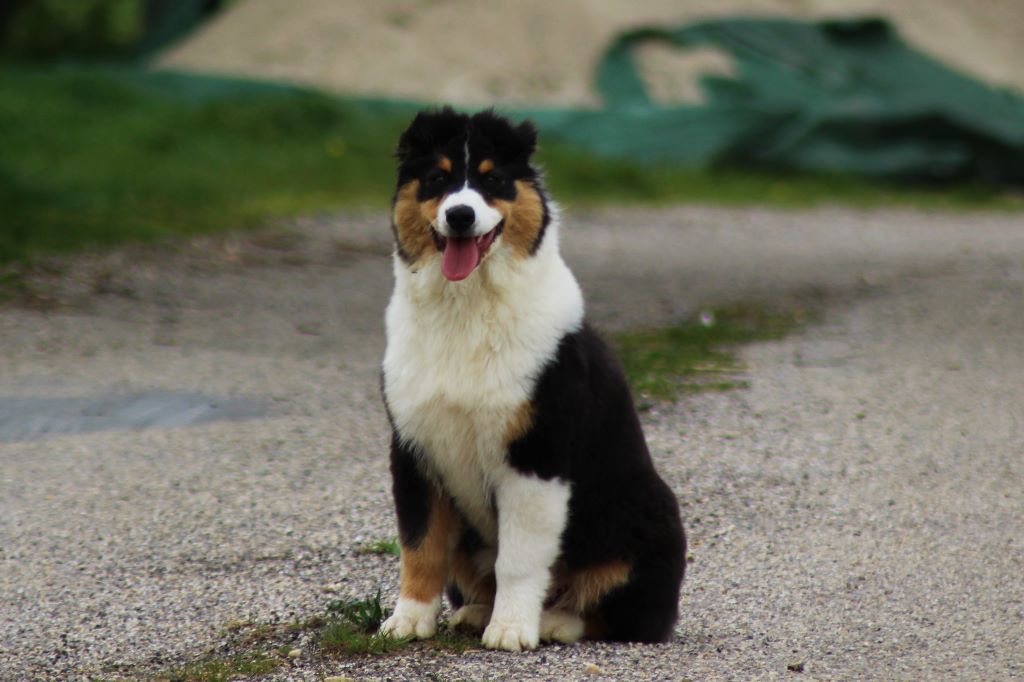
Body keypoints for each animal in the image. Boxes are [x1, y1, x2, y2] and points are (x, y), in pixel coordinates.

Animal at [380, 106, 684, 647]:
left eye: (492, 179)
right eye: (437, 179)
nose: (460, 215)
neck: (467, 308)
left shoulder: (536, 455)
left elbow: (518, 559)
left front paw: (511, 629)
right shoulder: (414, 449)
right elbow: (420, 545)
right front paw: (409, 619)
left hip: (651, 512)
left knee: (626, 615)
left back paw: (554, 620)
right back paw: (475, 611)